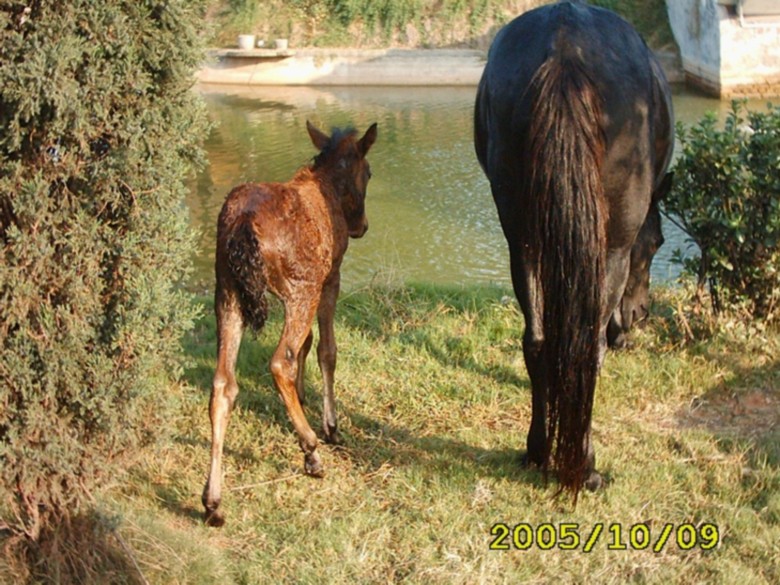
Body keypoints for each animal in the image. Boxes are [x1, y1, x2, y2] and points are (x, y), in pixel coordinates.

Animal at [204, 118, 378, 524]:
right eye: (369, 171)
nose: (361, 226)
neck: (330, 185)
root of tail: (242, 226)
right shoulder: (330, 278)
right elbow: (326, 349)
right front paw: (330, 425)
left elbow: (308, 344)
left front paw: (302, 396)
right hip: (300, 289)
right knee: (278, 361)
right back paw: (311, 449)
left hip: (227, 292)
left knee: (223, 382)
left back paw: (213, 500)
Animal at [472, 1, 672, 498]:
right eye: (658, 243)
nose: (639, 314)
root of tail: (565, 50)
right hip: (610, 246)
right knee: (587, 348)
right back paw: (585, 465)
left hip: (521, 238)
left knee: (537, 341)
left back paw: (538, 451)